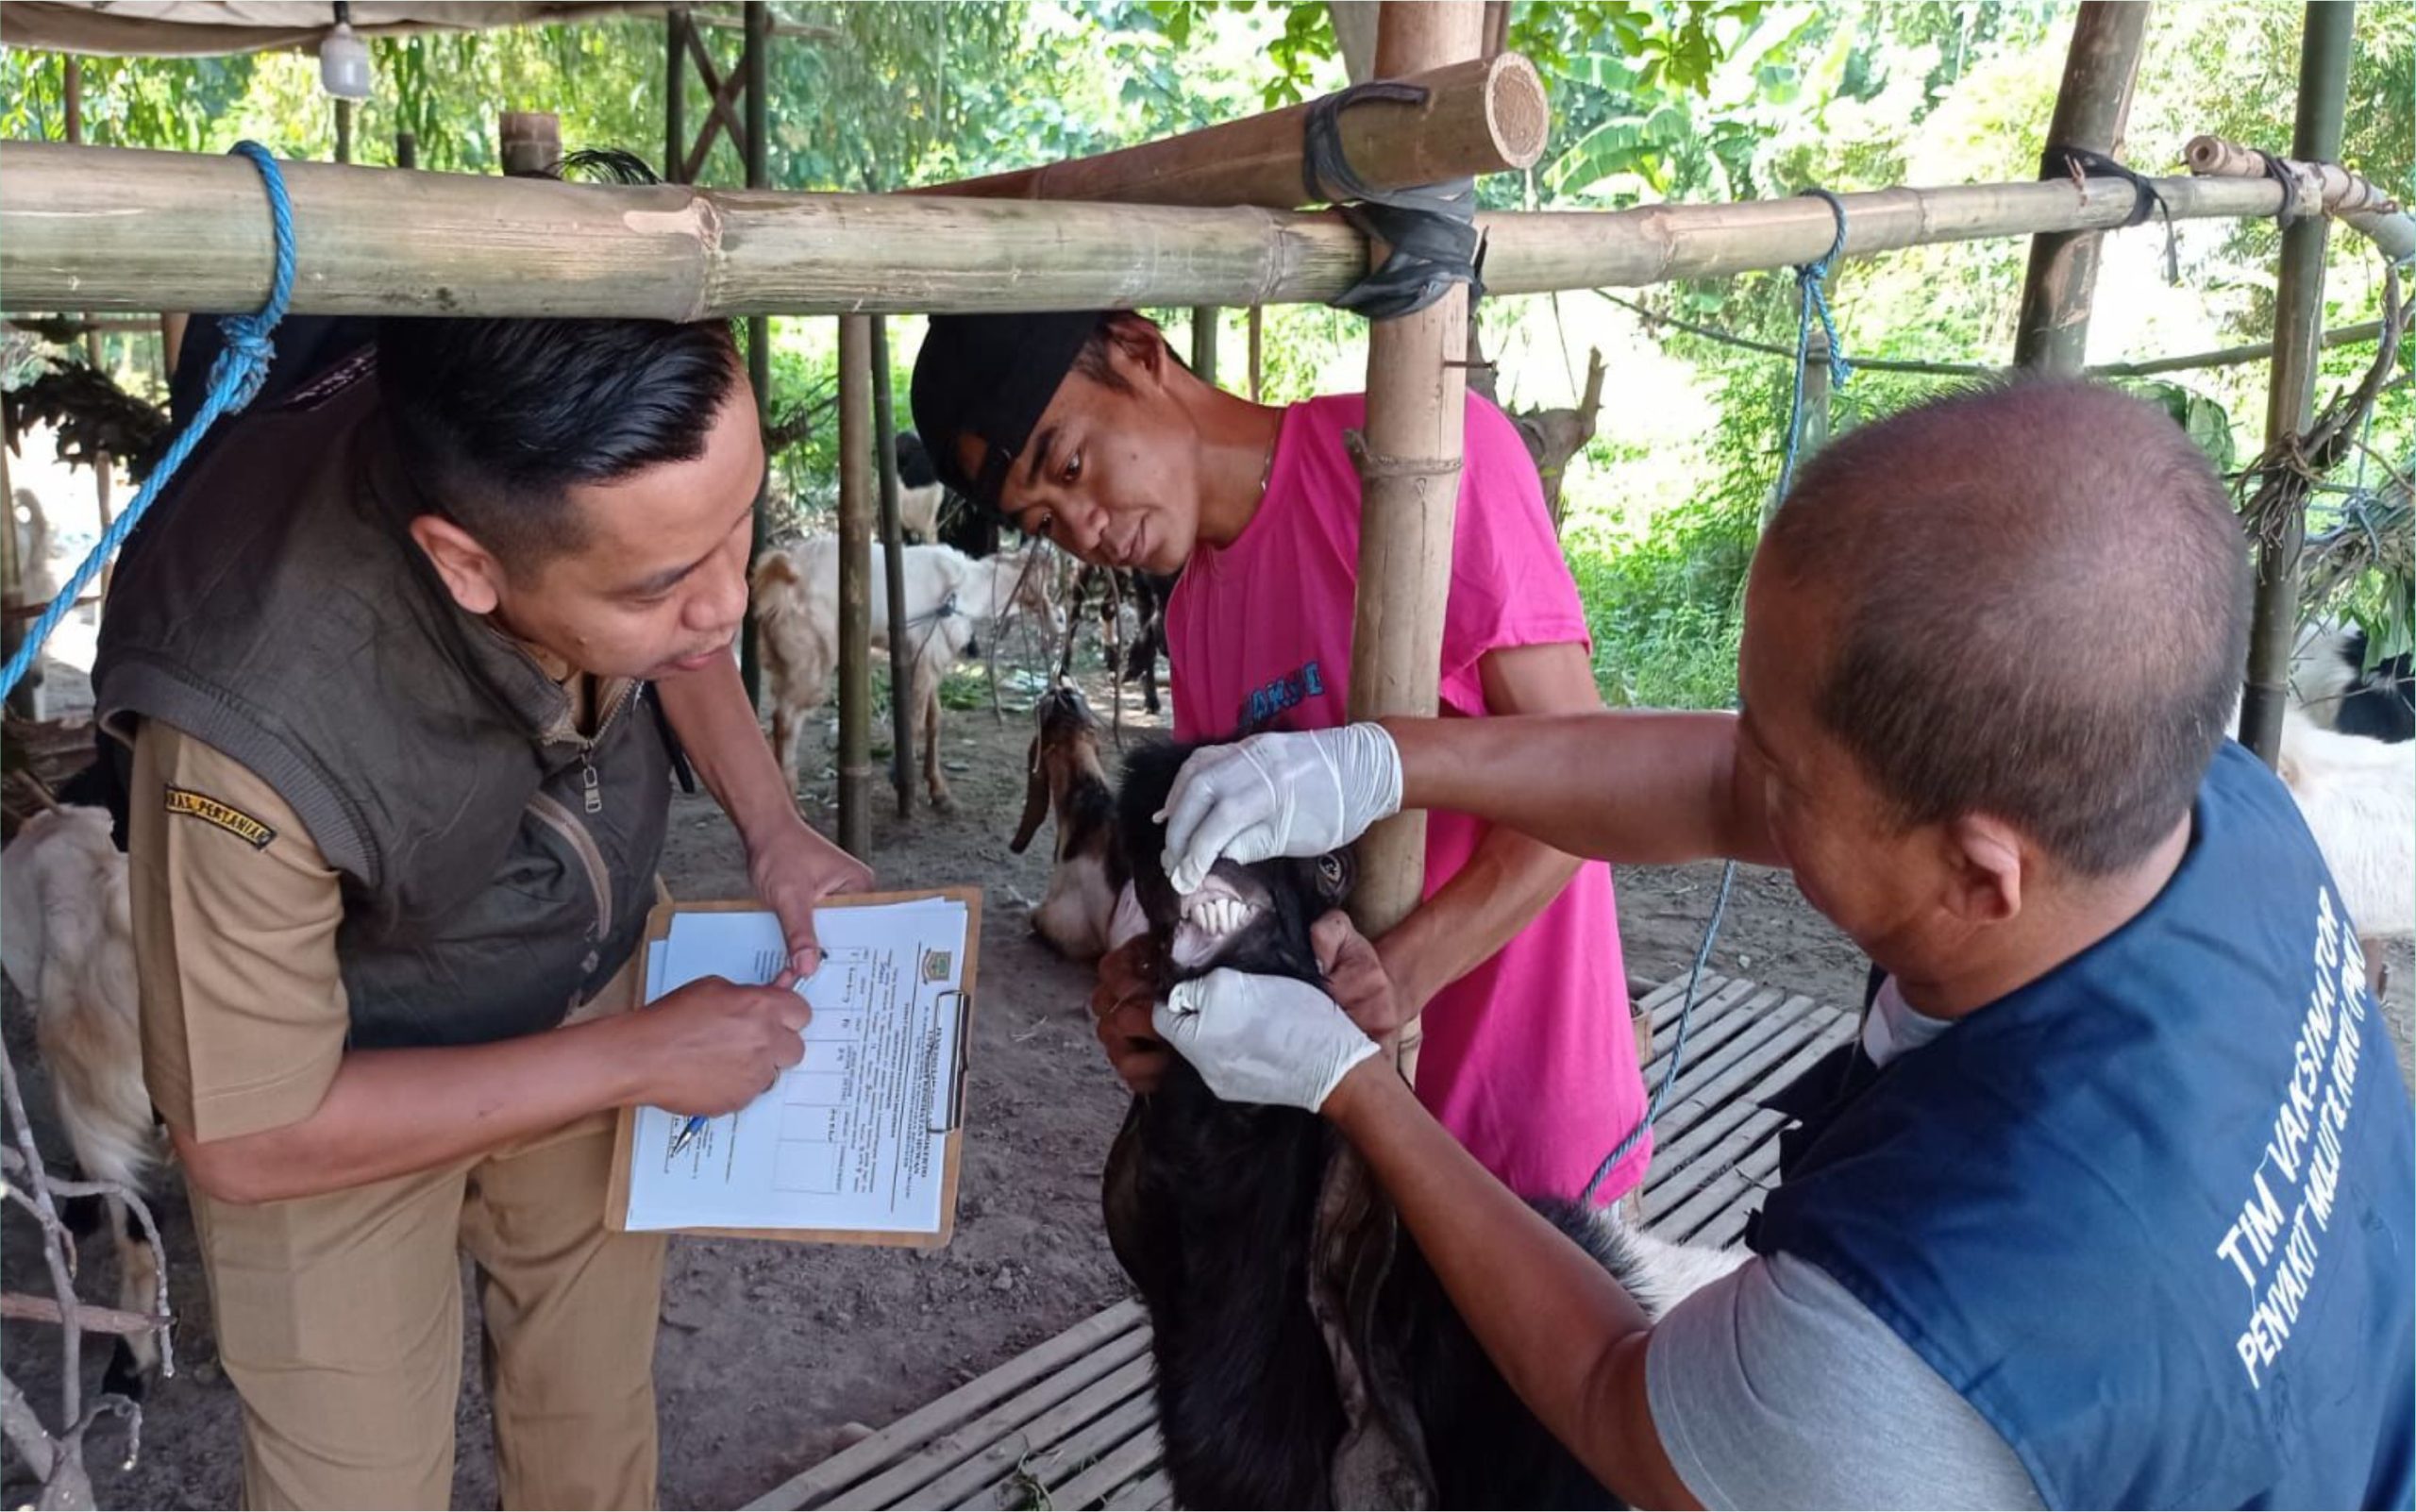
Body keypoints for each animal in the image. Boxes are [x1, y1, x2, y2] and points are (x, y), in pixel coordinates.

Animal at [753, 536, 1058, 806]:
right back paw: (793, 803)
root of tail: (785, 570)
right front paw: (900, 777)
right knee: (787, 721)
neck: (968, 587)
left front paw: (938, 789)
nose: (1058, 623)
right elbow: (915, 721)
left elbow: (934, 720)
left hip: (785, 660)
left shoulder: (928, 656)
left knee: (778, 719)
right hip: (812, 659)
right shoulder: (924, 661)